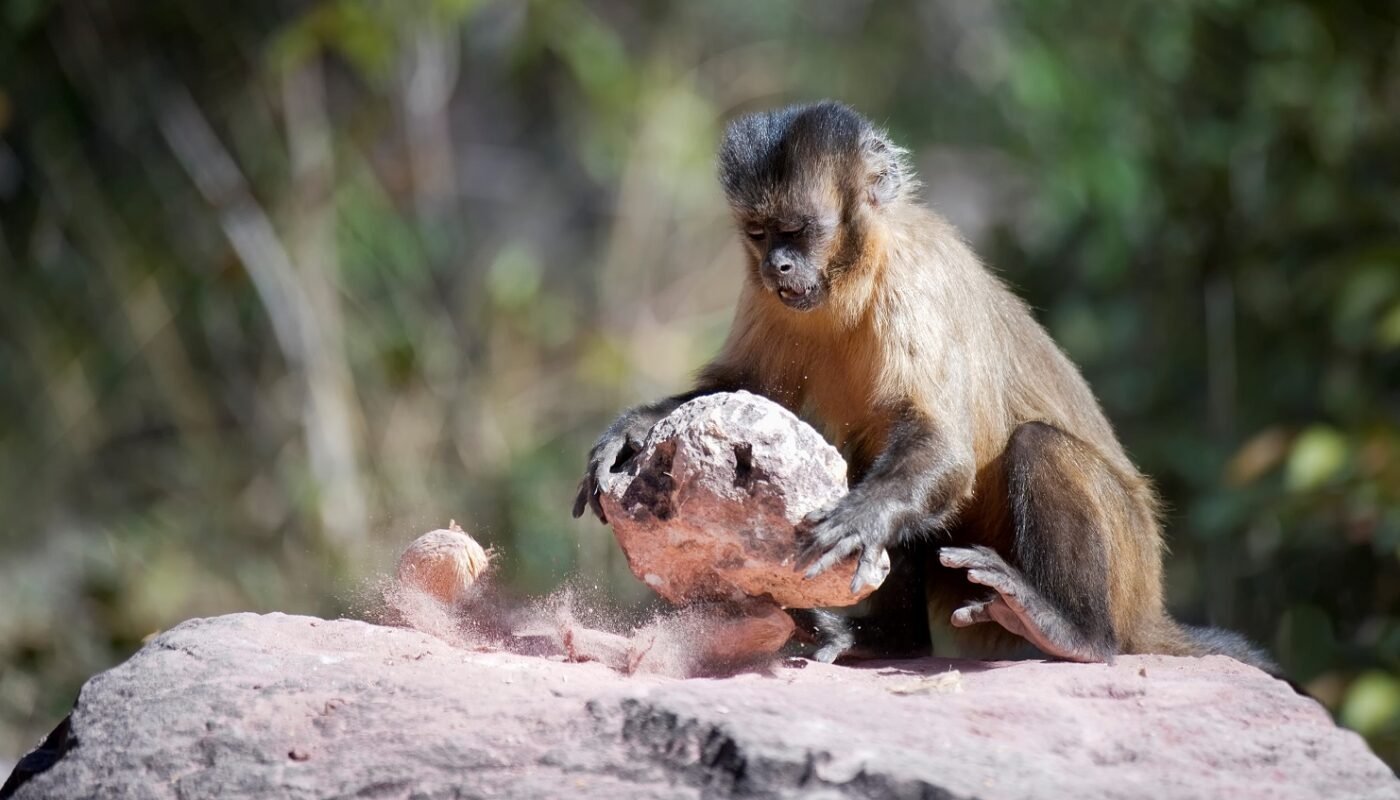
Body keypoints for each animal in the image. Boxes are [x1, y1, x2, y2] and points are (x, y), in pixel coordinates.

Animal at [571, 101, 1282, 675]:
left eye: (797, 232)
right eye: (759, 234)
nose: (779, 265)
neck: (856, 276)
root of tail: (1149, 608)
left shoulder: (913, 280)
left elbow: (943, 445)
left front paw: (860, 517)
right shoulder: (764, 296)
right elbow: (746, 389)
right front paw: (634, 429)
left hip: (1130, 566)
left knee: (1037, 446)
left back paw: (1073, 632)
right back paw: (890, 641)